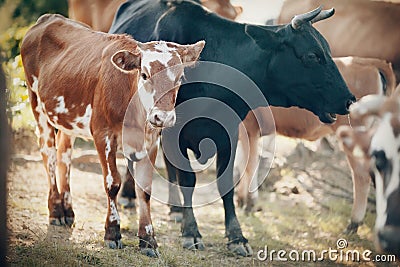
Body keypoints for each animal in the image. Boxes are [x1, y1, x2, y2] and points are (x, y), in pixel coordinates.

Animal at [20, 13, 205, 258]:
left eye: (180, 77)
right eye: (144, 74)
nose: (162, 117)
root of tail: (49, 18)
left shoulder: (151, 141)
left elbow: (145, 190)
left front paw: (148, 240)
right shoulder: (103, 134)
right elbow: (113, 183)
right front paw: (112, 233)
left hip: (67, 119)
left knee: (64, 157)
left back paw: (68, 210)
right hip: (37, 105)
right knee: (48, 155)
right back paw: (56, 210)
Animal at [108, 0, 354, 258]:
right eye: (312, 55)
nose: (349, 99)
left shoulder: (229, 131)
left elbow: (226, 184)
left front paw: (236, 236)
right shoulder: (174, 131)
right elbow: (188, 180)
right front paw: (191, 231)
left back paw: (174, 209)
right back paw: (129, 196)